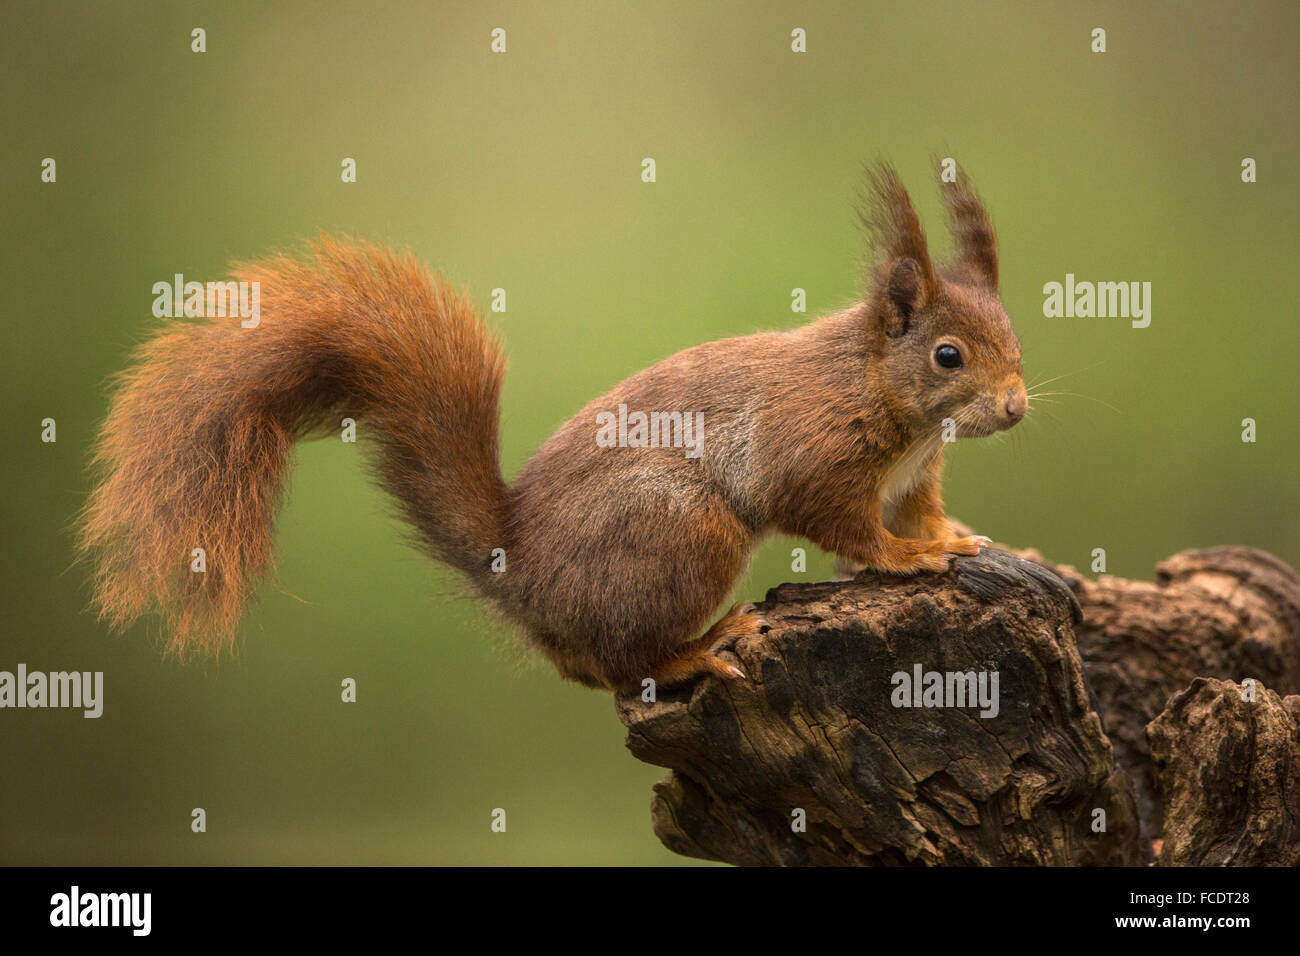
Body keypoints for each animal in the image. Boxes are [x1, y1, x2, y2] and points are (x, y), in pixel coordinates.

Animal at [78, 162, 1024, 686]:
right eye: (947, 356)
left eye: (1015, 335)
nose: (1016, 406)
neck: (888, 400)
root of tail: (521, 572)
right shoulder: (816, 454)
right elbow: (846, 525)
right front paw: (908, 557)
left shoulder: (914, 474)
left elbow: (919, 510)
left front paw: (953, 538)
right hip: (679, 529)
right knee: (622, 668)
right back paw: (697, 647)